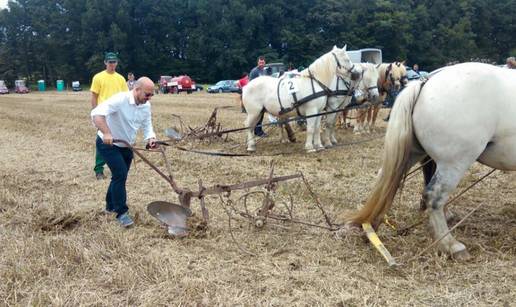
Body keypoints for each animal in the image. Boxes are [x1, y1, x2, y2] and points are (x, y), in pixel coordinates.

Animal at [342, 63, 516, 262]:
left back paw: (374, 221)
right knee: (434, 196)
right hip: (454, 162)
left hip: (414, 153)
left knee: (384, 179)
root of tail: (425, 82)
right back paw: (451, 245)